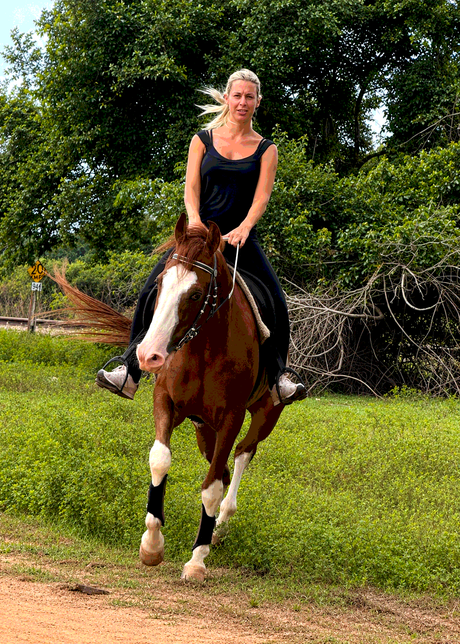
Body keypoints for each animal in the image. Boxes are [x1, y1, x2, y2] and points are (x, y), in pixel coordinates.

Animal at [135, 214, 285, 581]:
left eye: (195, 294)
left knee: (242, 455)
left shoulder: (232, 417)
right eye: (160, 283)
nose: (149, 356)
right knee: (223, 465)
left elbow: (212, 487)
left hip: (264, 414)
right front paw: (152, 545)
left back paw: (221, 524)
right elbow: (160, 460)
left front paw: (197, 560)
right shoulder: (165, 401)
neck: (203, 350)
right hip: (203, 428)